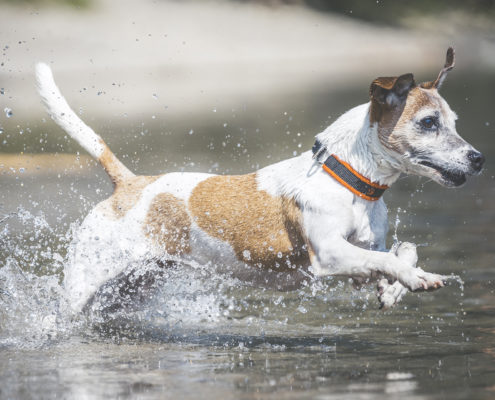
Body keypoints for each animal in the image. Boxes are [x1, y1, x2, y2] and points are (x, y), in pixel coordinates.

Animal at [35, 47, 484, 312]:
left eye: (453, 122)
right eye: (428, 123)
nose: (478, 159)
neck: (347, 178)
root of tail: (130, 183)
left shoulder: (361, 256)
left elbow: (401, 251)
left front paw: (395, 288)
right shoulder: (329, 255)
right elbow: (387, 259)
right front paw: (415, 279)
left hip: (135, 285)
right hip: (84, 284)